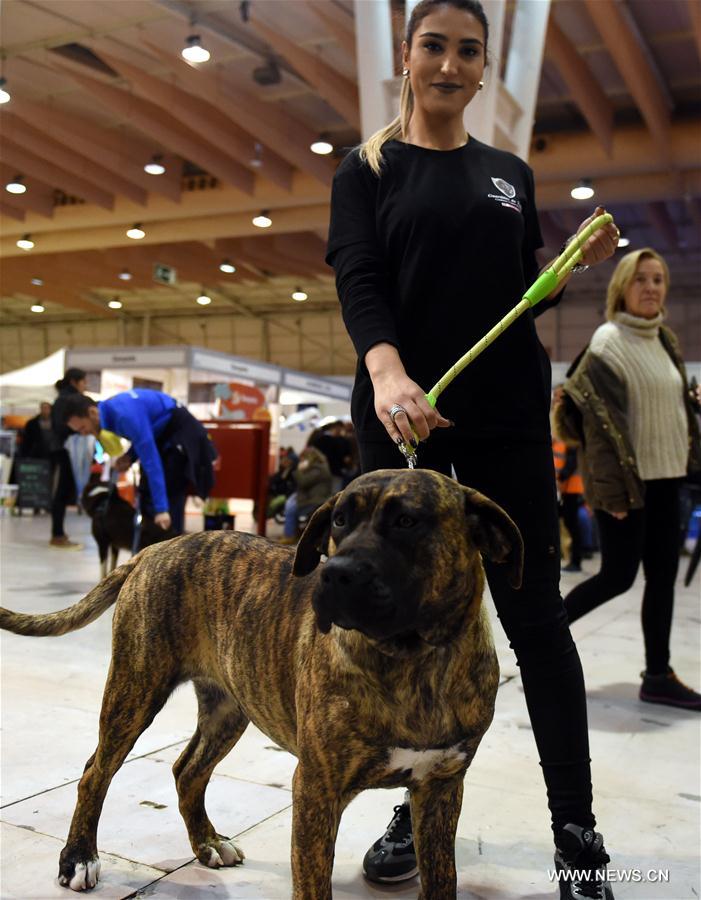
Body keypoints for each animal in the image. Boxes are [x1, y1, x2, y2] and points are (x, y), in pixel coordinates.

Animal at [0, 468, 524, 896]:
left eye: (407, 521)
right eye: (338, 521)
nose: (334, 575)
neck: (416, 660)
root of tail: (154, 548)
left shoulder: (441, 791)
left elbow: (442, 881)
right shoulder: (316, 789)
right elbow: (313, 886)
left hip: (229, 706)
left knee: (188, 769)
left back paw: (207, 841)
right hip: (135, 689)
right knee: (96, 772)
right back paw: (78, 859)